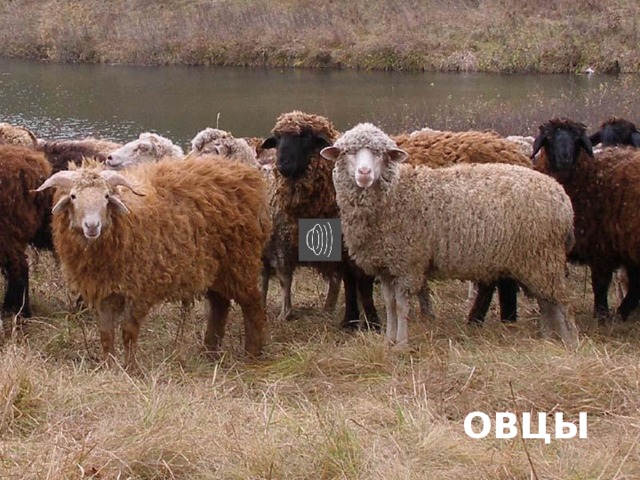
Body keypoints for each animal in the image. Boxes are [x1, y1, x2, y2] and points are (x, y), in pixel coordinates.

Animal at [36, 156, 271, 368]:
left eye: (106, 196)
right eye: (73, 196)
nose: (92, 226)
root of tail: (246, 174)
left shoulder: (140, 288)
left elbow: (128, 331)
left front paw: (131, 369)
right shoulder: (104, 290)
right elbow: (106, 333)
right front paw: (108, 366)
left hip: (241, 262)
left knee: (252, 304)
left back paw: (252, 354)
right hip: (216, 268)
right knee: (219, 305)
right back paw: (209, 352)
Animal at [531, 118, 640, 321]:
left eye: (576, 139)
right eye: (549, 138)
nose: (564, 158)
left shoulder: (600, 246)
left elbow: (600, 284)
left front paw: (601, 315)